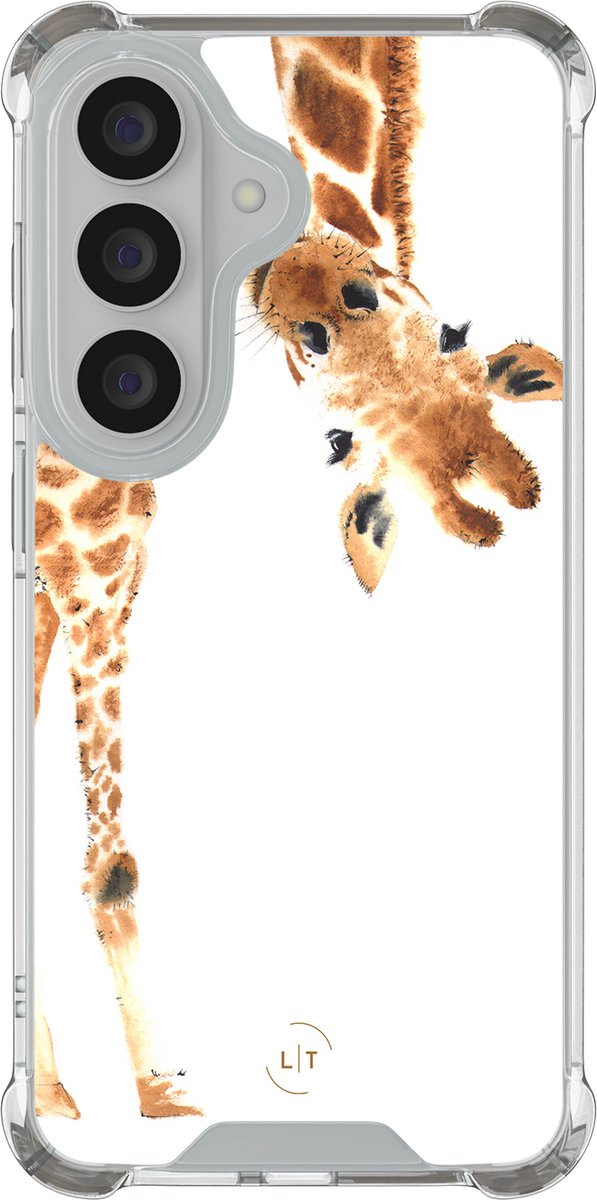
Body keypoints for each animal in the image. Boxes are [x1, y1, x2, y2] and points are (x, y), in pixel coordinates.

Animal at [33, 36, 562, 1119]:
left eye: (455, 336)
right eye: (334, 430)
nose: (304, 275)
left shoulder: (97, 548)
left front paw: (101, 1089)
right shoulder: (80, 544)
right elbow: (110, 856)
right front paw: (159, 1091)